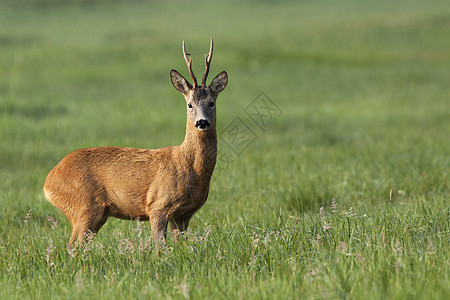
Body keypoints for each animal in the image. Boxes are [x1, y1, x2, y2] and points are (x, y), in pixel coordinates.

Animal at [43, 39, 227, 251]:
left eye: (211, 103)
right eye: (189, 104)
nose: (202, 122)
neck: (191, 167)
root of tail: (48, 181)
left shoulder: (183, 215)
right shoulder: (157, 206)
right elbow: (160, 248)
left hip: (97, 214)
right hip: (84, 206)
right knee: (72, 246)